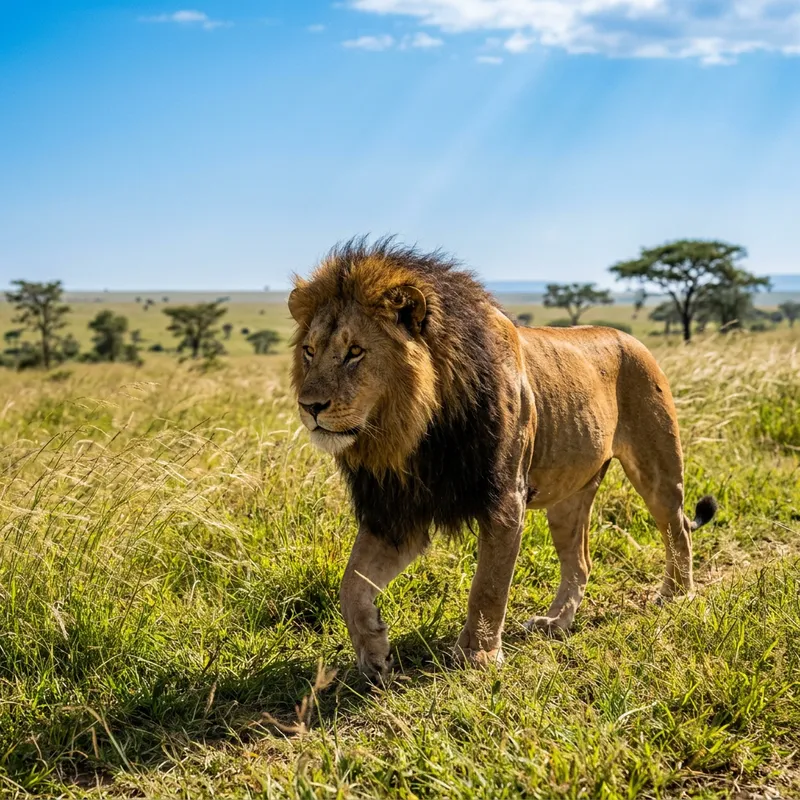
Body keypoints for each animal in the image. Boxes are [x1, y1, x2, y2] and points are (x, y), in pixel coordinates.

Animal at [288, 237, 717, 682]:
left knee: (678, 530)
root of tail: (630, 337)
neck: (415, 432)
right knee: (580, 562)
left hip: (658, 468)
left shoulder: (506, 499)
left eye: (355, 352)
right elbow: (350, 587)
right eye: (309, 351)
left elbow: (488, 586)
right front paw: (374, 652)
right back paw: (555, 622)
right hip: (570, 497)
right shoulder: (397, 514)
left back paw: (675, 596)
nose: (310, 406)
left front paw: (477, 656)